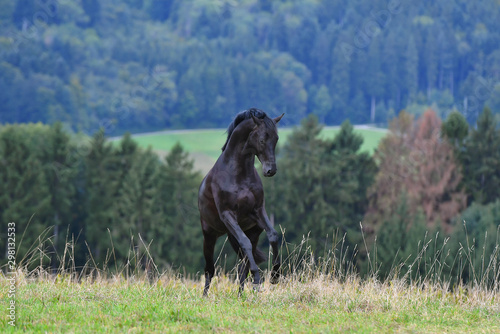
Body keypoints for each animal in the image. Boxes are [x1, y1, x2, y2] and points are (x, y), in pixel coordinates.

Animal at [199, 108, 286, 294]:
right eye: (262, 139)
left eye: (276, 139)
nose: (271, 170)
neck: (238, 174)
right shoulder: (227, 215)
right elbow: (244, 243)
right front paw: (258, 278)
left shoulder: (258, 211)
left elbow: (273, 235)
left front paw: (275, 275)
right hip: (209, 235)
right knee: (210, 269)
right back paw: (205, 296)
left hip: (252, 233)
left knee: (243, 267)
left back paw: (242, 294)